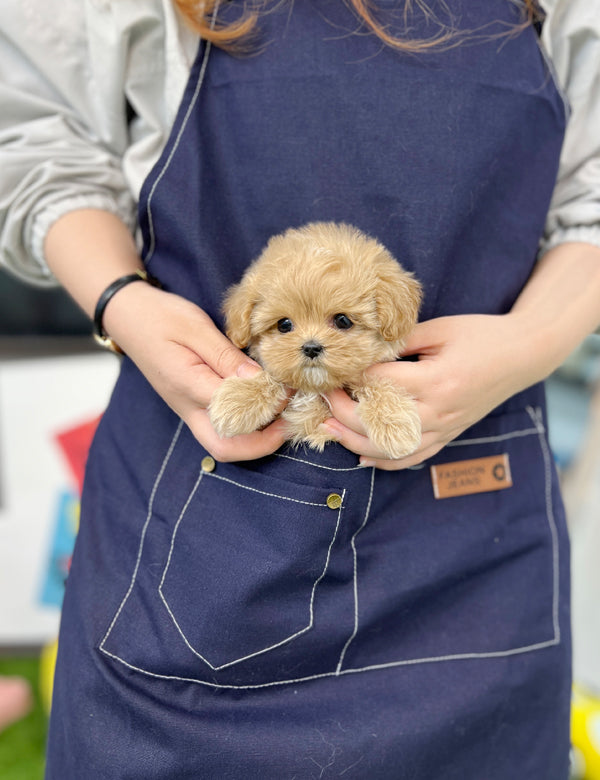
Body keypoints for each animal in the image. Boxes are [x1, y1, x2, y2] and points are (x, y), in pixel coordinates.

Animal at [209, 221, 424, 458]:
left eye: (342, 320)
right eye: (284, 325)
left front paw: (394, 423)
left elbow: (372, 382)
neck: (313, 390)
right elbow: (273, 376)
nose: (311, 348)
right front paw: (240, 400)